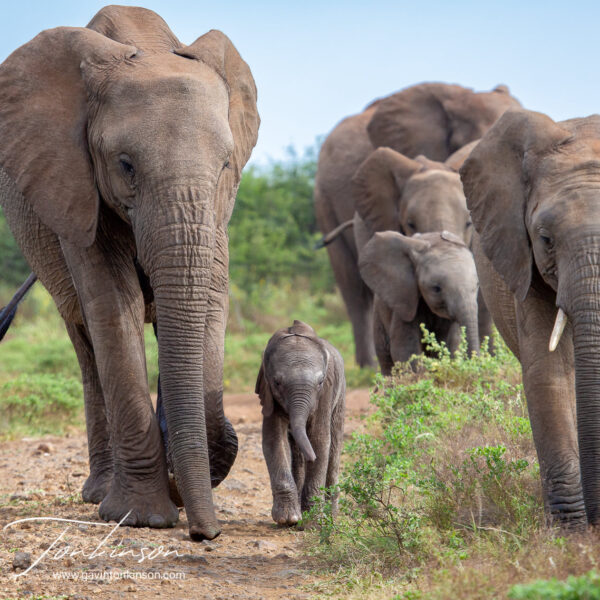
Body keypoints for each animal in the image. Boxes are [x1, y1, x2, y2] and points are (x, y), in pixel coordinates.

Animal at [0, 4, 258, 540]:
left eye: (227, 165)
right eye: (125, 165)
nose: (206, 533)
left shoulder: (218, 211)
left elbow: (210, 300)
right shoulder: (74, 184)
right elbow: (116, 305)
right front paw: (143, 518)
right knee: (85, 339)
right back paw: (101, 493)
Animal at [254, 322, 346, 524]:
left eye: (320, 382)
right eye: (277, 382)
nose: (311, 457)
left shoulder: (326, 394)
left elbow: (320, 439)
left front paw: (313, 522)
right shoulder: (269, 393)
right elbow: (274, 439)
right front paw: (288, 519)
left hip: (341, 396)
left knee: (334, 445)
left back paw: (332, 517)